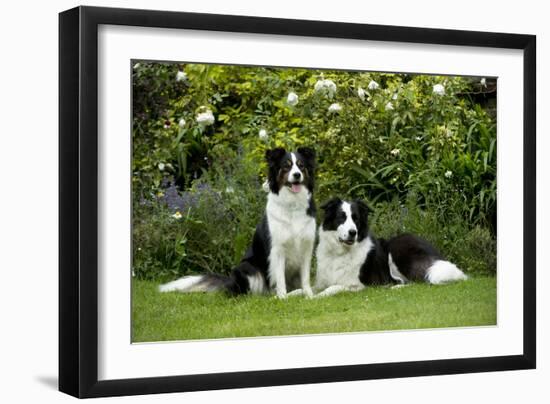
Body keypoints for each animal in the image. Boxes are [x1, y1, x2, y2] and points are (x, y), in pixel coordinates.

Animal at [157, 147, 316, 298]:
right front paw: (282, 298)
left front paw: (309, 296)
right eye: (286, 166)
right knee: (251, 293)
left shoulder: (306, 248)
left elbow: (306, 278)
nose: (297, 175)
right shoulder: (277, 249)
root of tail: (230, 281)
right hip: (247, 267)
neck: (293, 204)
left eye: (301, 166)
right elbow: (280, 278)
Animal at [316, 198, 468, 296]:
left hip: (397, 249)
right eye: (341, 218)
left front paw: (318, 296)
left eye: (356, 219)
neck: (339, 252)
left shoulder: (359, 284)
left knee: (420, 281)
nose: (353, 233)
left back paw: (396, 287)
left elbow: (333, 287)